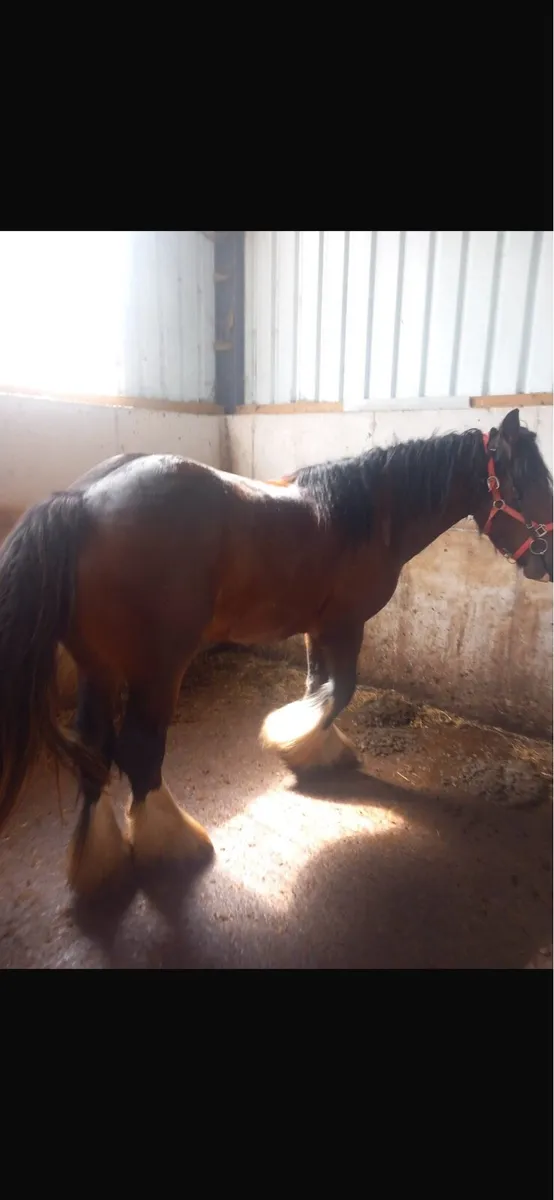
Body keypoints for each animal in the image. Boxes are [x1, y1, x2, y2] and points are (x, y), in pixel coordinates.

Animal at [0, 406, 551, 898]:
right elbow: (340, 690)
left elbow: (319, 686)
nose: (545, 566)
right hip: (157, 669)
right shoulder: (346, 624)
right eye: (530, 484)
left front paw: (312, 747)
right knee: (138, 750)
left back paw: (98, 857)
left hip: (98, 668)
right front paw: (299, 741)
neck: (371, 515)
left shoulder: (318, 628)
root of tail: (81, 500)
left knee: (93, 751)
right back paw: (173, 842)